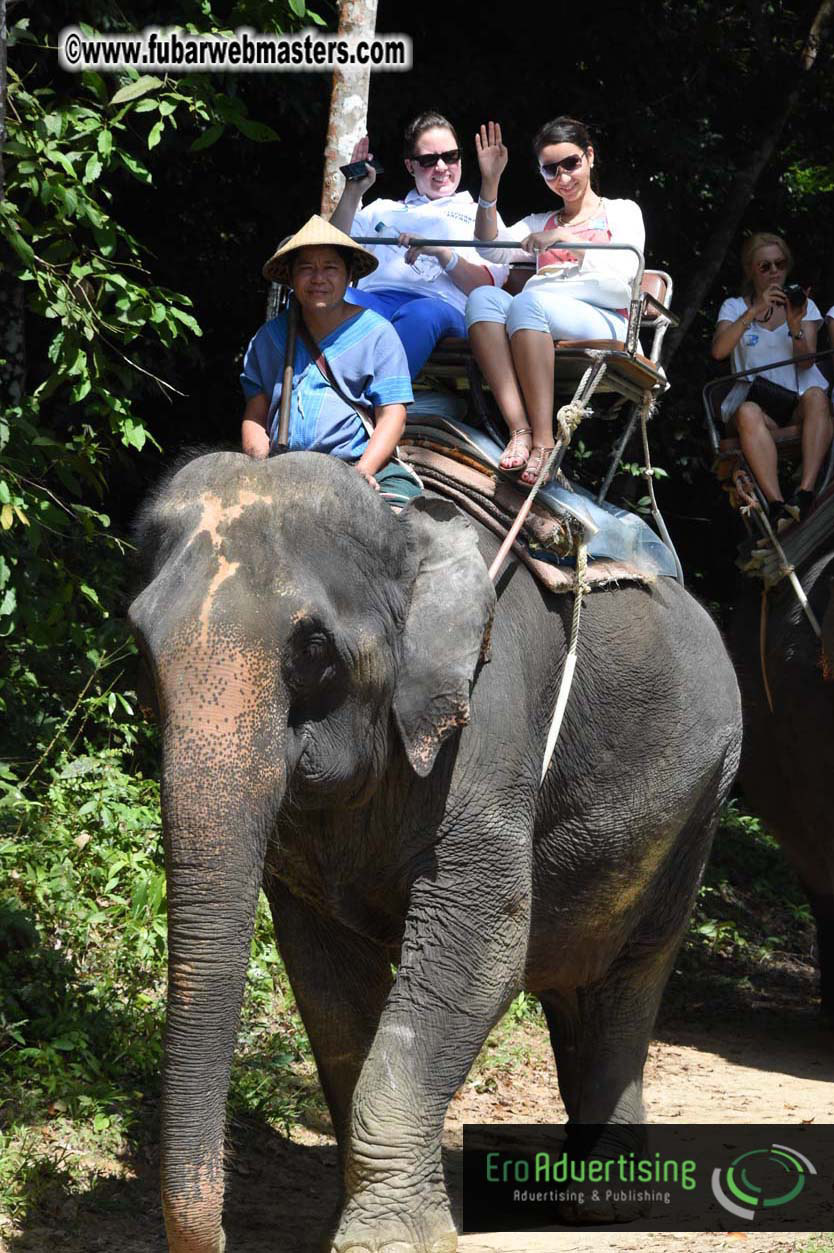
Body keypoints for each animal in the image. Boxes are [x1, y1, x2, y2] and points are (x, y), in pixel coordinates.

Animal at [128, 449, 742, 1253]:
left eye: (314, 651)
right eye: (141, 643)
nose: (221, 1237)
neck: (404, 535)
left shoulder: (488, 718)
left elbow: (484, 942)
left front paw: (385, 1241)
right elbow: (324, 973)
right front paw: (351, 1222)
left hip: (704, 798)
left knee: (627, 976)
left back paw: (601, 1204)